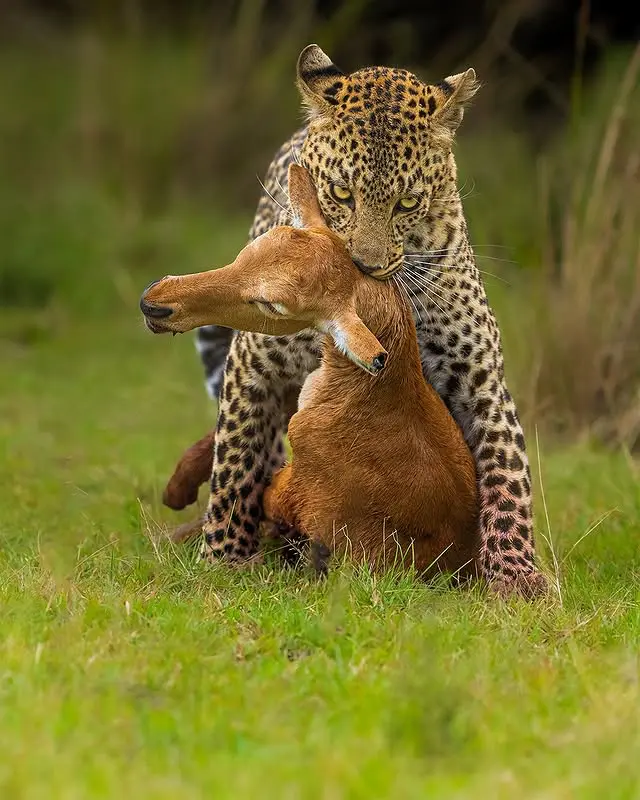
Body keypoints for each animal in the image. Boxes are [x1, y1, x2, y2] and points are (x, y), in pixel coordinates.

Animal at [193, 44, 547, 598]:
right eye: (341, 194)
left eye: (407, 202)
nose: (364, 265)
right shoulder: (255, 365)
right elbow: (236, 459)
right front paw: (224, 558)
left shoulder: (481, 379)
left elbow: (507, 476)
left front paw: (515, 576)